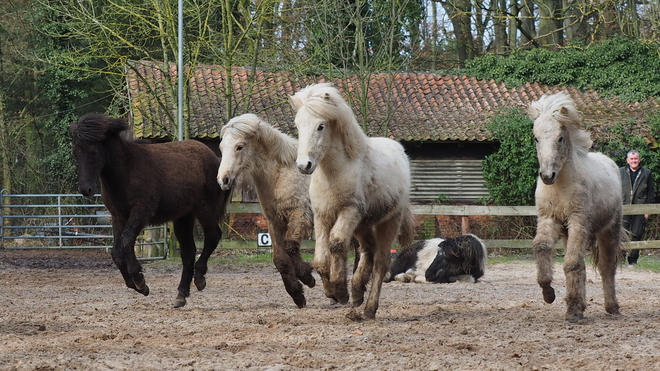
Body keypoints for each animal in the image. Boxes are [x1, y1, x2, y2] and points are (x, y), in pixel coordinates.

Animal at [71, 113, 231, 308]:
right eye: (75, 153)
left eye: (93, 152)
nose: (85, 189)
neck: (126, 170)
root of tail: (216, 161)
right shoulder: (118, 216)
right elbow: (116, 252)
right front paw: (134, 284)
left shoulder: (141, 211)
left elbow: (126, 241)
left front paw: (139, 280)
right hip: (184, 216)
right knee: (188, 251)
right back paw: (181, 295)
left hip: (205, 209)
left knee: (213, 236)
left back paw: (199, 278)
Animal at [288, 83, 412, 320]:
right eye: (298, 125)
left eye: (321, 126)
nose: (304, 165)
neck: (334, 173)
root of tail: (400, 151)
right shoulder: (322, 215)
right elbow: (320, 259)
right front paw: (332, 292)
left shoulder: (350, 211)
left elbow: (336, 243)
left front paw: (340, 291)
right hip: (363, 224)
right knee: (368, 249)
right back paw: (357, 292)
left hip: (388, 221)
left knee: (381, 262)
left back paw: (369, 308)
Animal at [532, 93, 624, 322]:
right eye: (536, 138)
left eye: (560, 138)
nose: (547, 176)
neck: (561, 187)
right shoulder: (550, 219)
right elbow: (542, 248)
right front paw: (549, 294)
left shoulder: (578, 222)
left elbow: (572, 263)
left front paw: (573, 312)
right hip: (567, 233)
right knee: (581, 264)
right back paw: (582, 304)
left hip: (609, 230)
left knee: (607, 268)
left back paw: (612, 307)